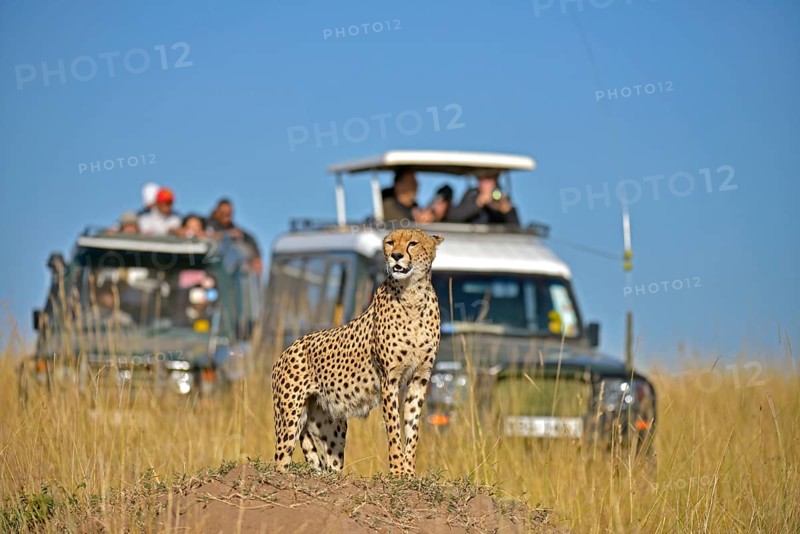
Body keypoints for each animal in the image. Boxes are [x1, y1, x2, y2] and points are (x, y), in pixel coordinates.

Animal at [271, 228, 444, 476]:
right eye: (390, 243)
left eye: (413, 243)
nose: (397, 256)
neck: (413, 295)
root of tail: (286, 350)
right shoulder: (389, 380)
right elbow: (394, 430)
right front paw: (397, 471)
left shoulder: (420, 379)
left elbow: (412, 429)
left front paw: (409, 472)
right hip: (289, 418)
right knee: (280, 460)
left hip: (331, 426)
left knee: (330, 464)